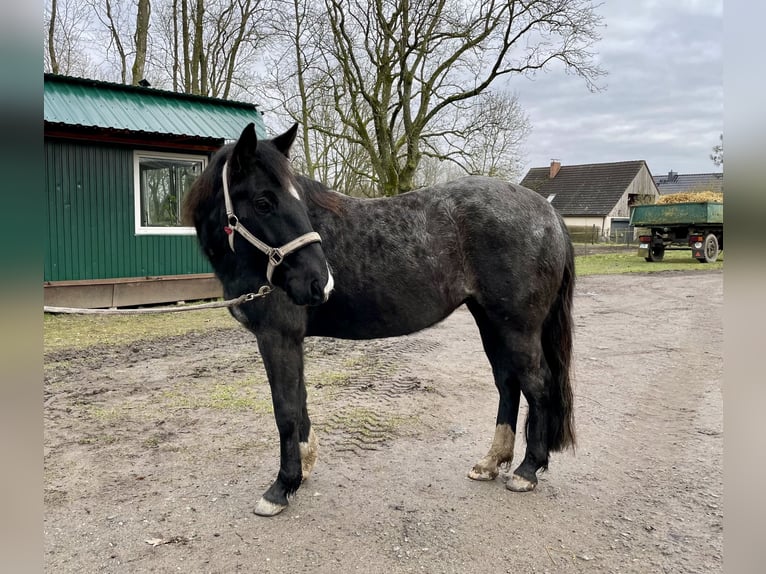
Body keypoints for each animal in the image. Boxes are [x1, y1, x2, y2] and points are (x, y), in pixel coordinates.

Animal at [184, 122, 576, 516]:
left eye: (295, 200)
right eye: (263, 202)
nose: (321, 282)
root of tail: (548, 213)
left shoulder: (277, 336)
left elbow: (286, 409)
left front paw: (281, 487)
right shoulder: (289, 340)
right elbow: (300, 399)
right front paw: (304, 469)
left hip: (517, 328)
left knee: (538, 385)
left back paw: (527, 470)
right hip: (492, 321)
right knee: (508, 384)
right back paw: (492, 462)